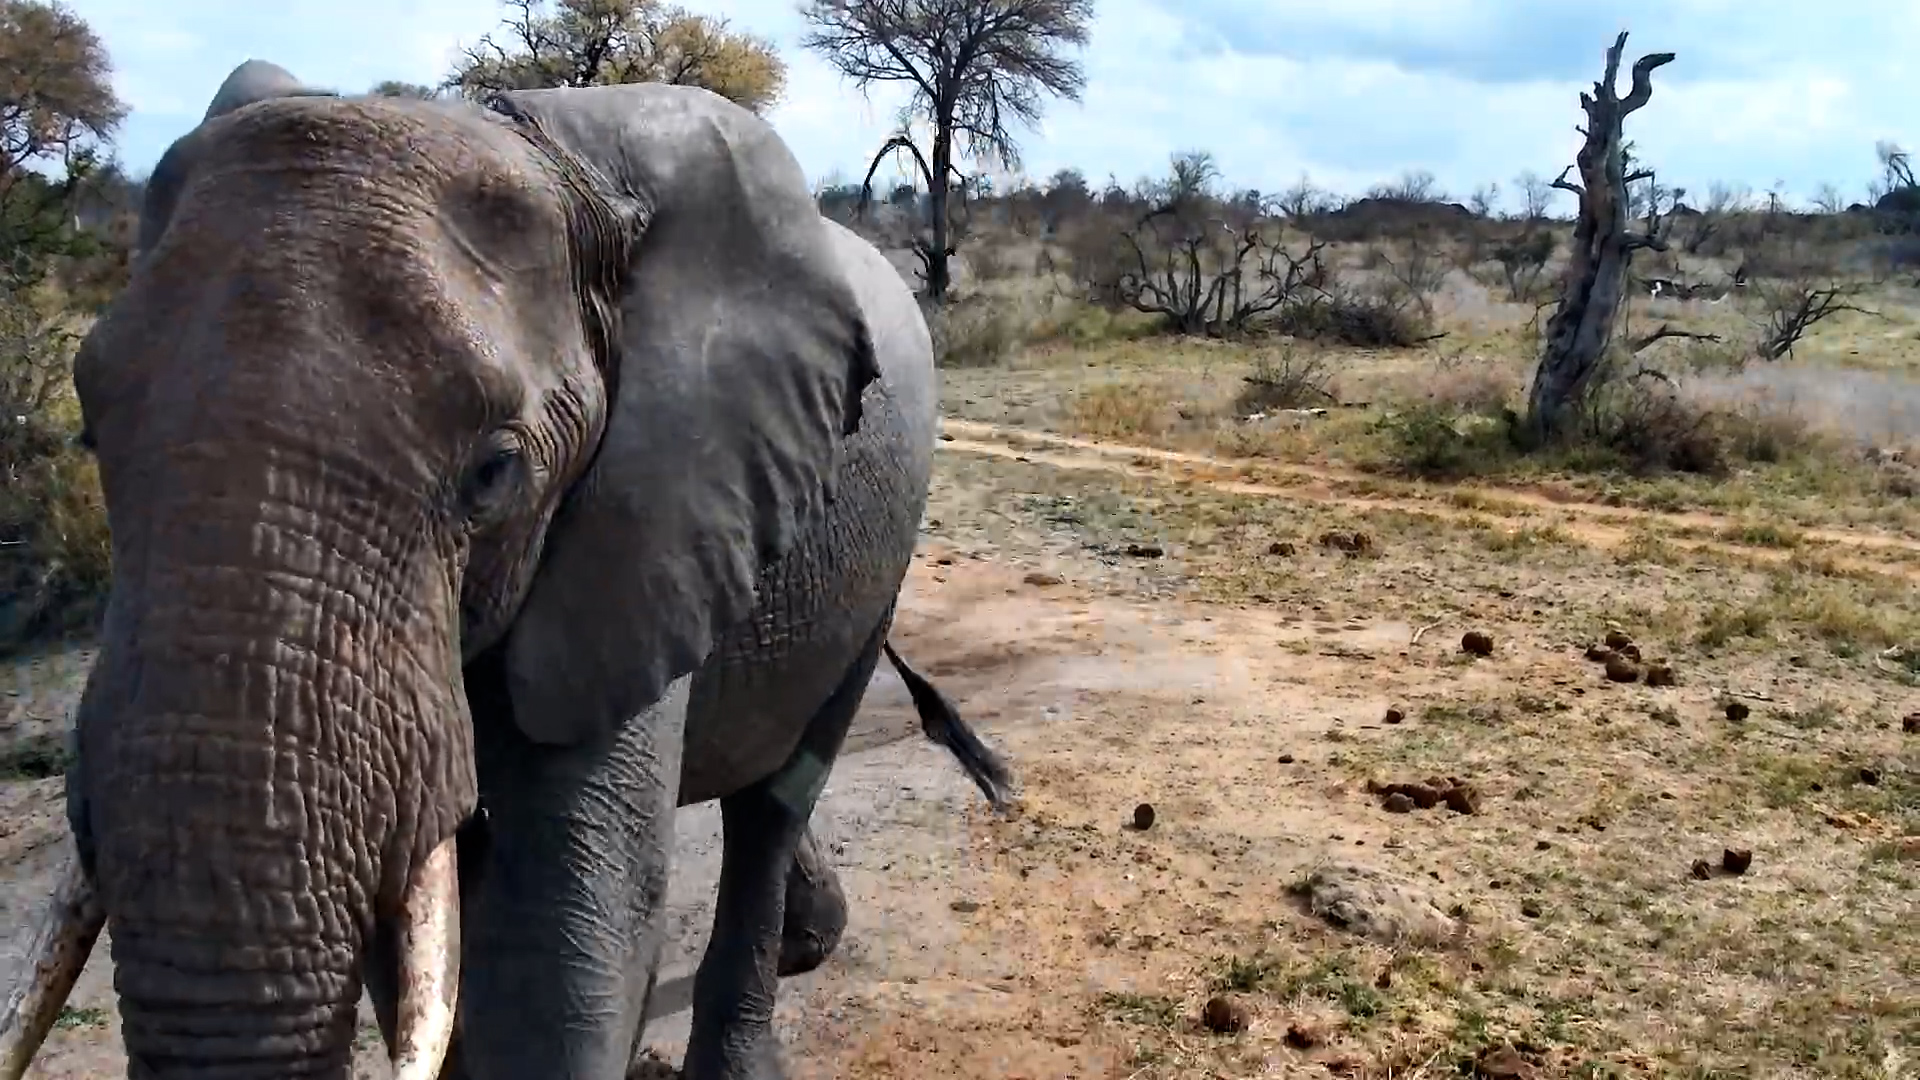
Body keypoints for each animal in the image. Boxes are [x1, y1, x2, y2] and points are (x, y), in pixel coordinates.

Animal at [0, 60, 1015, 1080]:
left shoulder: (646, 513)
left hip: (884, 548)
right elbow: (421, 903)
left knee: (778, 793)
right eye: (91, 435)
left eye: (493, 473)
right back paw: (814, 935)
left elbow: (560, 922)